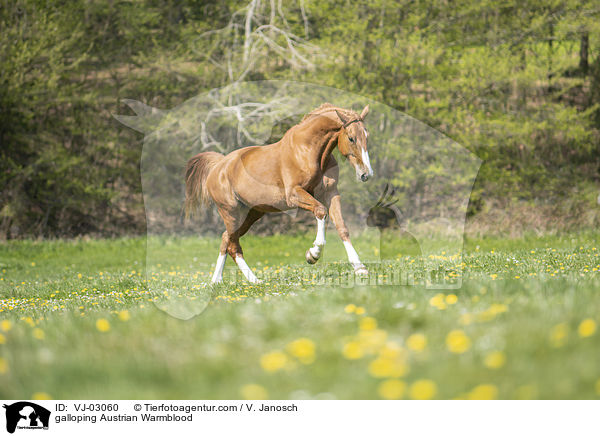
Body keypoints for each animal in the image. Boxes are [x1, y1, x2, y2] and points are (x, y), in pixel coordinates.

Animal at [185, 104, 372, 284]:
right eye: (351, 138)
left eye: (367, 136)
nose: (366, 174)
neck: (308, 151)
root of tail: (218, 166)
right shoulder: (294, 195)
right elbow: (320, 211)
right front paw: (313, 254)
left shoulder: (331, 193)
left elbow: (342, 227)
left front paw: (359, 268)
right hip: (231, 213)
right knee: (233, 245)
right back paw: (254, 281)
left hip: (252, 214)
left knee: (226, 239)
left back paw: (217, 280)